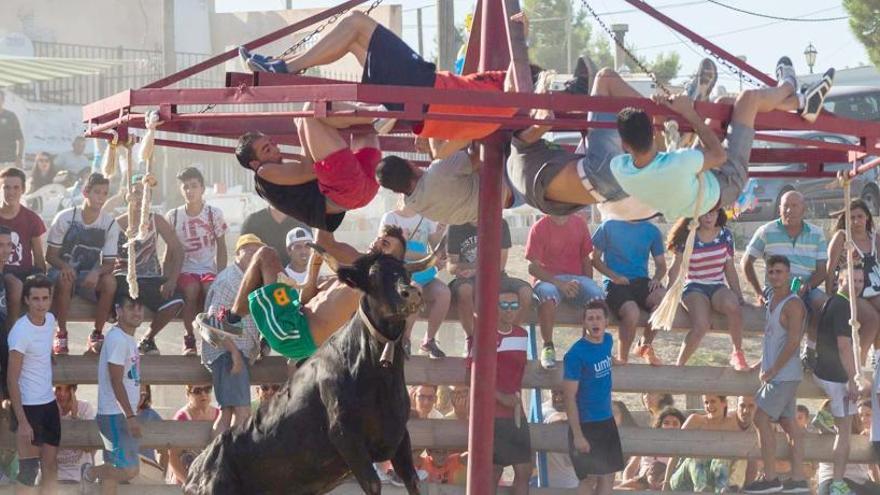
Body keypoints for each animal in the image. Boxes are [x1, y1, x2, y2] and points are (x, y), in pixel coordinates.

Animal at [184, 254, 424, 494]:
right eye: (373, 275)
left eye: (407, 272)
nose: (410, 292)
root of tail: (195, 471)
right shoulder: (345, 435)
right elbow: (373, 483)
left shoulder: (399, 435)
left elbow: (412, 480)